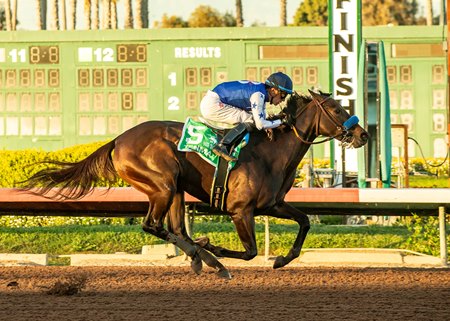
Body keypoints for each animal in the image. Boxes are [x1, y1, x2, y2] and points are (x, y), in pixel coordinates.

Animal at [21, 89, 368, 278]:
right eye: (337, 109)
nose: (363, 134)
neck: (271, 152)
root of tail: (118, 139)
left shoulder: (273, 204)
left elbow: (305, 221)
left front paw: (282, 260)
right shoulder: (240, 210)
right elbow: (251, 252)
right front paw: (213, 247)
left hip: (175, 189)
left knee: (175, 228)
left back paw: (203, 258)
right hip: (162, 183)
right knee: (153, 225)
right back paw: (207, 258)